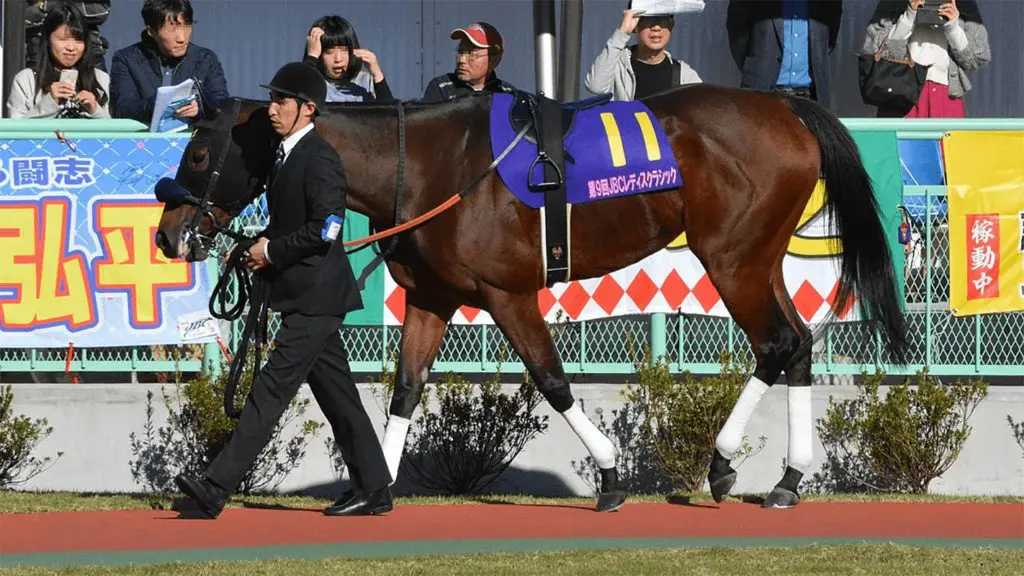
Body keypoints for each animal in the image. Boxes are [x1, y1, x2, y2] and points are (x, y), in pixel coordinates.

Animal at [153, 84, 909, 512]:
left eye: (199, 153)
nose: (167, 234)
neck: (426, 163)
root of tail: (785, 106)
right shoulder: (432, 298)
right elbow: (404, 390)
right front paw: (376, 487)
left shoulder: (507, 293)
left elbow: (551, 380)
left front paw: (609, 477)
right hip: (759, 258)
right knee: (797, 344)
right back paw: (785, 479)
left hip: (732, 258)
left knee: (777, 342)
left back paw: (726, 464)